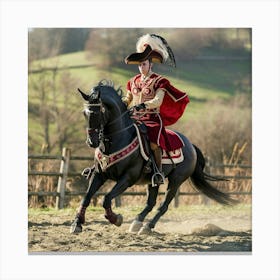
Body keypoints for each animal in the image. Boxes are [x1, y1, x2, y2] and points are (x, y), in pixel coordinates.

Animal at [70, 80, 236, 235]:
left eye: (98, 113)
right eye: (84, 113)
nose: (91, 142)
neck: (118, 138)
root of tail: (190, 145)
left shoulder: (127, 178)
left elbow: (106, 199)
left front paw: (116, 219)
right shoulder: (99, 174)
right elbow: (86, 197)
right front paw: (77, 224)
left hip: (175, 181)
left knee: (163, 206)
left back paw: (147, 226)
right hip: (153, 181)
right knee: (150, 203)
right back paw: (137, 223)